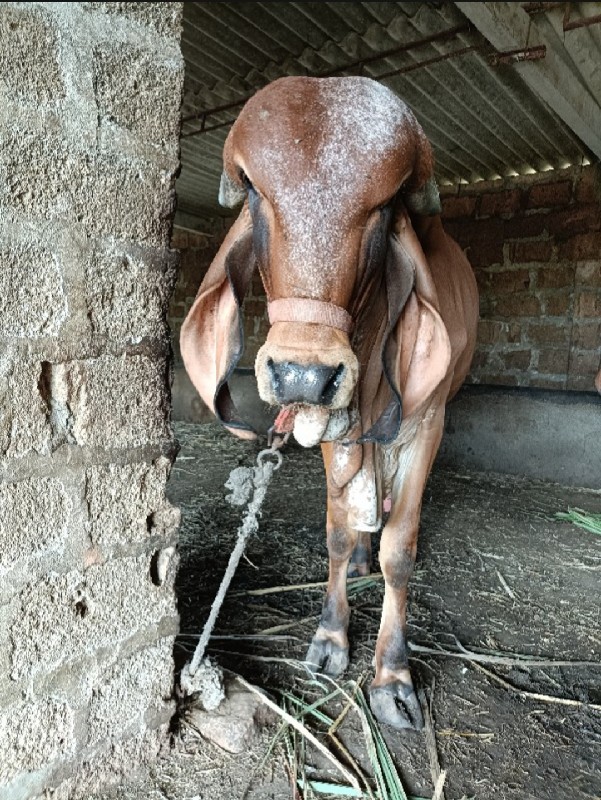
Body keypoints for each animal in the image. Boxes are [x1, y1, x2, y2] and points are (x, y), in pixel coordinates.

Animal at [183, 76, 478, 732]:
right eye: (256, 194)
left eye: (383, 209)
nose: (302, 374)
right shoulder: (327, 431)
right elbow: (339, 534)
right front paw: (330, 637)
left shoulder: (427, 422)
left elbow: (401, 552)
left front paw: (392, 676)